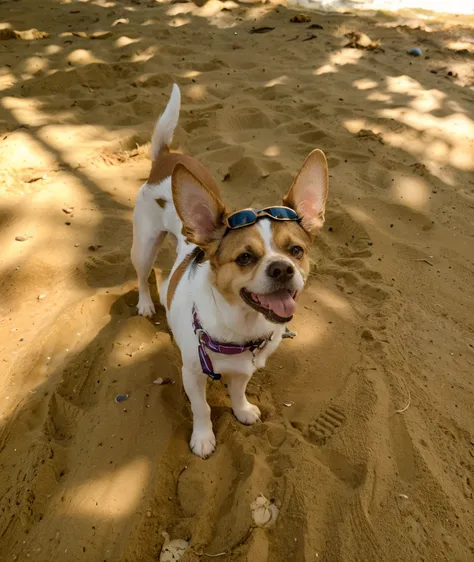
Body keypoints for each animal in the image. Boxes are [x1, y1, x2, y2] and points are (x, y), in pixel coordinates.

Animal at [131, 85, 328, 458]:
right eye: (245, 258)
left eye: (296, 251)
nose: (282, 269)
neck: (242, 328)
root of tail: (167, 158)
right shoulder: (192, 374)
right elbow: (201, 408)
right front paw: (203, 438)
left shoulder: (244, 370)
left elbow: (238, 391)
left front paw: (242, 410)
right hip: (145, 244)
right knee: (142, 275)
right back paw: (147, 304)